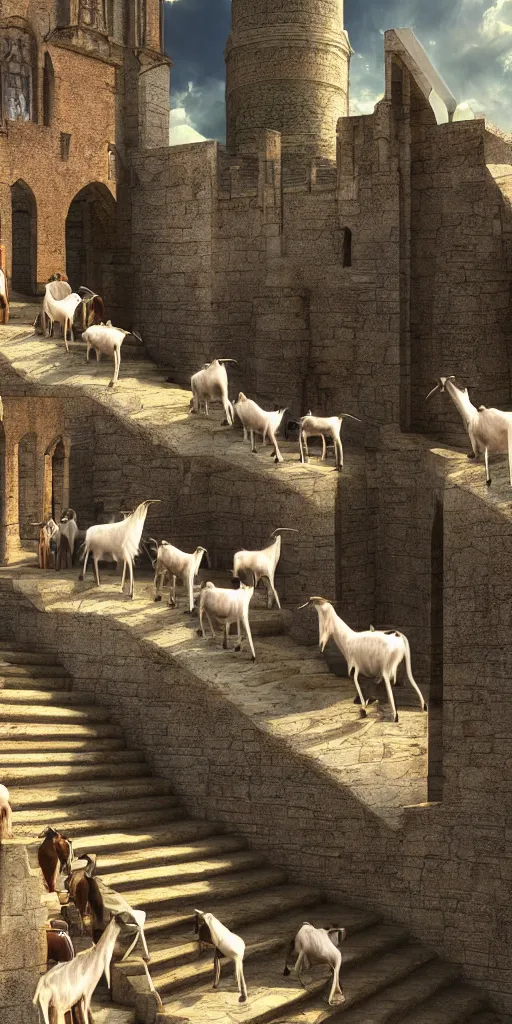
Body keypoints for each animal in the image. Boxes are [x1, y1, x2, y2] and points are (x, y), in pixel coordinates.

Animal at [299, 598, 428, 724]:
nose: (302, 607)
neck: (347, 639)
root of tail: (399, 635)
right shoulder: (367, 669)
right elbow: (369, 683)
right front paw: (368, 702)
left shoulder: (355, 667)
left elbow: (357, 681)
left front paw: (363, 708)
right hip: (401, 663)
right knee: (407, 680)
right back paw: (423, 706)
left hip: (387, 666)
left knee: (389, 684)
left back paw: (395, 715)